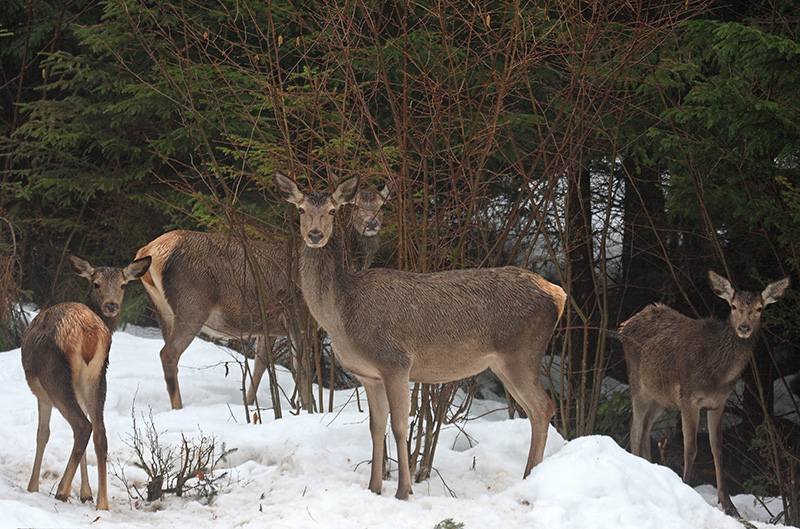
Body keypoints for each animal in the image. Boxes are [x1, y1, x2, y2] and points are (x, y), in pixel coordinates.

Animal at [21, 254, 152, 510]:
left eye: (123, 285)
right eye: (96, 283)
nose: (112, 305)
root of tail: (89, 332)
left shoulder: (42, 396)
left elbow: (42, 434)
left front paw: (33, 487)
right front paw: (86, 493)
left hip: (55, 377)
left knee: (82, 426)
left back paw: (62, 490)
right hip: (98, 377)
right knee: (100, 432)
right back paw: (102, 503)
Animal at [135, 184, 390, 410]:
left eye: (382, 205)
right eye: (355, 205)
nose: (372, 223)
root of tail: (148, 251)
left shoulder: (268, 324)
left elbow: (260, 364)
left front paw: (249, 405)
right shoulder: (298, 315)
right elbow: (302, 367)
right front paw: (308, 408)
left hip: (164, 312)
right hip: (192, 304)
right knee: (168, 354)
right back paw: (179, 408)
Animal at [278, 173, 564, 500]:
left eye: (332, 211)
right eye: (301, 209)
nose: (314, 234)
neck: (342, 317)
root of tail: (558, 294)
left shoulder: (396, 362)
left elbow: (401, 426)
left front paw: (403, 490)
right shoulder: (368, 375)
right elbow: (376, 428)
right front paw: (374, 488)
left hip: (522, 353)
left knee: (543, 407)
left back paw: (530, 478)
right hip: (505, 363)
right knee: (533, 411)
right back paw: (528, 476)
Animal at [620, 268, 788, 512]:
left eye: (759, 308)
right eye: (733, 306)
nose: (744, 328)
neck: (717, 374)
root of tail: (625, 325)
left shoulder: (718, 403)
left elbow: (717, 448)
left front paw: (728, 504)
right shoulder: (689, 398)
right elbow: (690, 448)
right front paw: (686, 486)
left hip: (660, 398)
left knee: (645, 427)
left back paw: (651, 467)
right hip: (637, 382)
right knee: (635, 426)